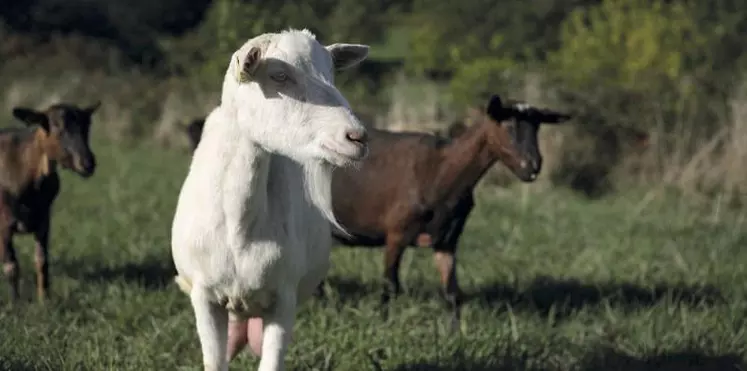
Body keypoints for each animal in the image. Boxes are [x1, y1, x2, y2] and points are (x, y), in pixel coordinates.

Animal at [0, 101, 99, 302]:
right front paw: (16, 303)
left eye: (87, 127)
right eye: (57, 128)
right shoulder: (4, 223)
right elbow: (11, 266)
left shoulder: (43, 221)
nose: (88, 164)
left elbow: (42, 261)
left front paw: (44, 300)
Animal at [169, 29, 368, 371]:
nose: (357, 137)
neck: (239, 226)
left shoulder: (283, 299)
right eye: (279, 75)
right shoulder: (205, 298)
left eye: (331, 73)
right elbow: (214, 362)